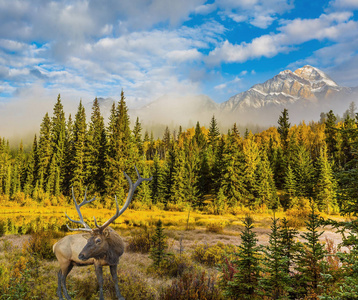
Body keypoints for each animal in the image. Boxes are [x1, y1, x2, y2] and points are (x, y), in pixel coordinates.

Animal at [53, 166, 152, 300]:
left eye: (98, 240)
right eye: (88, 239)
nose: (81, 255)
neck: (110, 253)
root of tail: (54, 246)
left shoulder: (115, 262)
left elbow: (115, 279)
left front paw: (120, 296)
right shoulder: (96, 262)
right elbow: (100, 281)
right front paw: (101, 297)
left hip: (70, 262)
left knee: (59, 274)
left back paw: (60, 295)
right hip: (64, 260)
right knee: (62, 277)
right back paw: (67, 297)